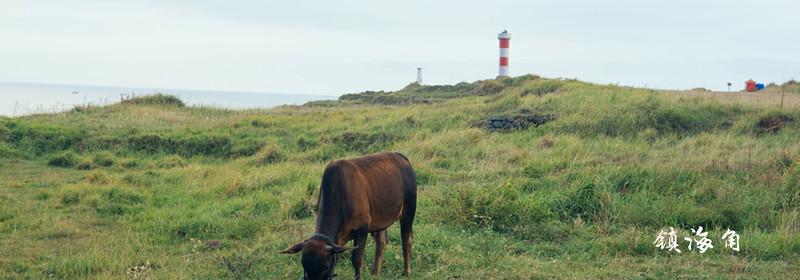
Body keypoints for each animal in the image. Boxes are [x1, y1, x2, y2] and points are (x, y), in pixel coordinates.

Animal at [282, 153, 418, 280]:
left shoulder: (362, 229)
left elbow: (357, 260)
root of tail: (400, 157)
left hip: (409, 209)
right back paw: (376, 273)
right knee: (382, 242)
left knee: (406, 240)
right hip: (380, 221)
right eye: (304, 266)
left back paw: (406, 272)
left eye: (325, 267)